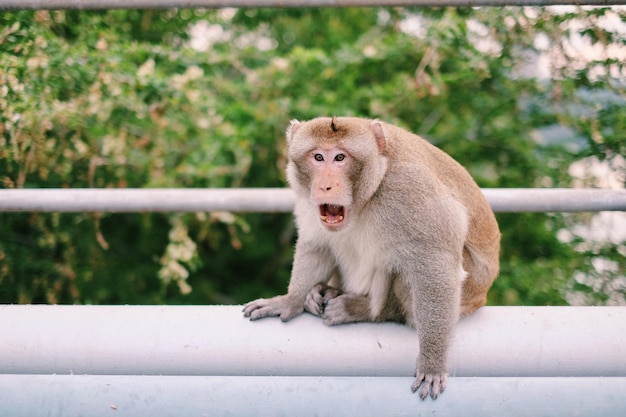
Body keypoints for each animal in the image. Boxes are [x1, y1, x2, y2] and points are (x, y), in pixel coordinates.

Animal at [241, 116, 500, 400]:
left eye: (340, 157)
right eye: (318, 157)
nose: (325, 185)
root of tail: (481, 298)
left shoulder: (409, 190)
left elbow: (435, 267)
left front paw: (432, 361)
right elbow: (316, 243)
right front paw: (290, 300)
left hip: (467, 295)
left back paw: (368, 310)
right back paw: (325, 292)